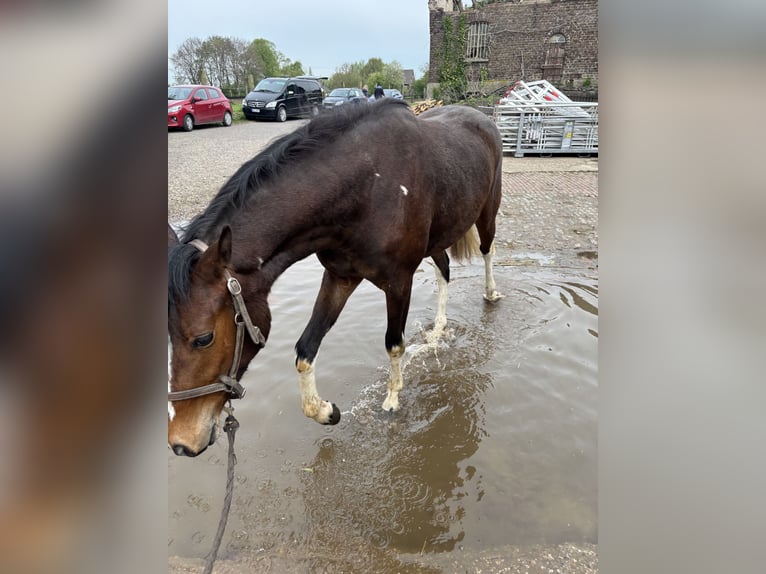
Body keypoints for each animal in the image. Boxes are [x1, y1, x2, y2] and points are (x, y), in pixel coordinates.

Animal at [168, 98, 503, 457]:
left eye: (204, 338)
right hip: (438, 237)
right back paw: (438, 329)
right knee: (444, 270)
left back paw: (491, 294)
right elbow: (306, 349)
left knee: (487, 251)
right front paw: (326, 411)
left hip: (487, 211)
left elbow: (394, 344)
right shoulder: (340, 277)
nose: (181, 443)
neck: (367, 188)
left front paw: (392, 398)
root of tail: (481, 116)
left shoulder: (399, 282)